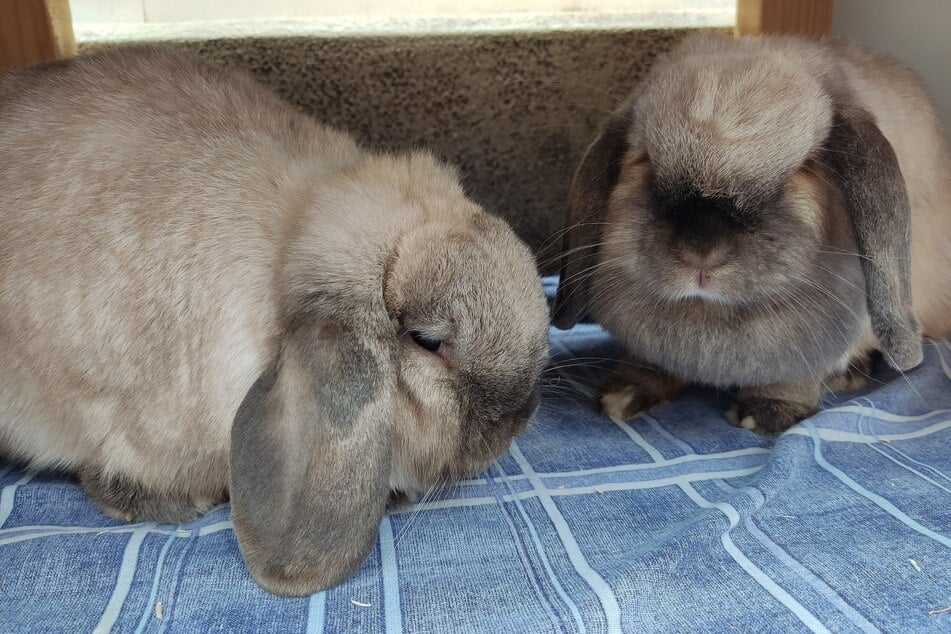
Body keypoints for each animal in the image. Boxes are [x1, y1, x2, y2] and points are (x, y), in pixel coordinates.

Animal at [552, 32, 951, 432]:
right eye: (645, 159)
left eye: (804, 169)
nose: (702, 247)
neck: (708, 312)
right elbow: (647, 365)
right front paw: (622, 395)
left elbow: (792, 379)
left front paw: (765, 415)